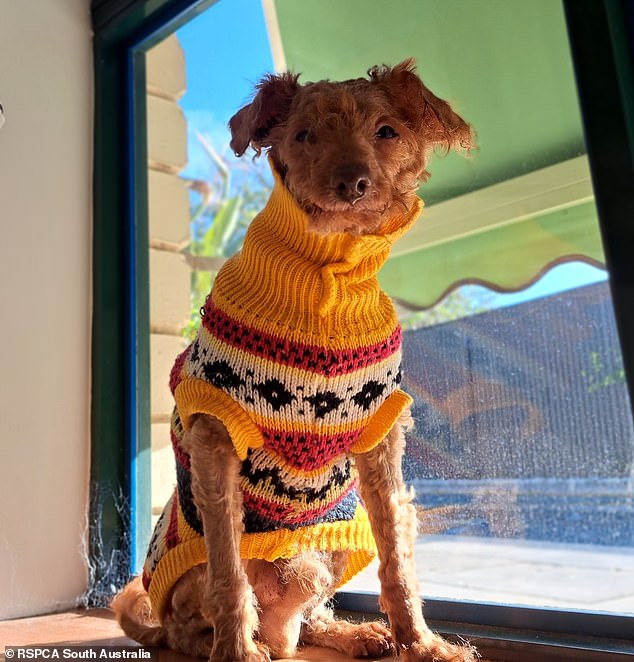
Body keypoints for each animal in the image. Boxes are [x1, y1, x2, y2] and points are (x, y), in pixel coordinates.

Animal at [112, 59, 474, 660]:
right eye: (303, 136)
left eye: (387, 131)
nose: (352, 182)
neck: (324, 276)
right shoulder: (215, 436)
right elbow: (229, 573)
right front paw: (234, 652)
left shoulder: (380, 439)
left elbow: (398, 558)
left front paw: (422, 644)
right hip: (189, 574)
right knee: (197, 621)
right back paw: (233, 642)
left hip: (331, 544)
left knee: (306, 618)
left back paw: (354, 634)